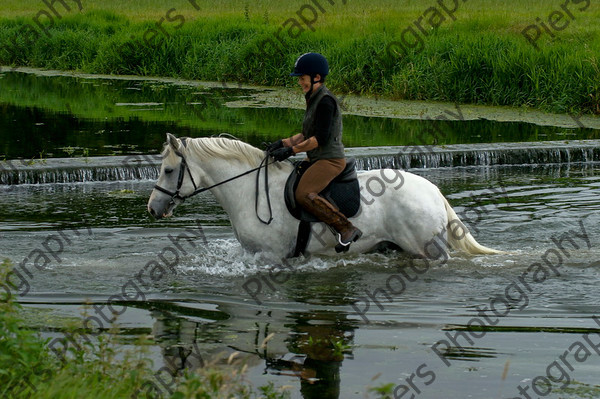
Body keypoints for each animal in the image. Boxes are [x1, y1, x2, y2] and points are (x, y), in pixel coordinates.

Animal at [146, 134, 502, 260]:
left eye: (168, 170)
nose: (153, 207)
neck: (249, 191)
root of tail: (434, 191)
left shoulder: (271, 257)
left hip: (426, 250)